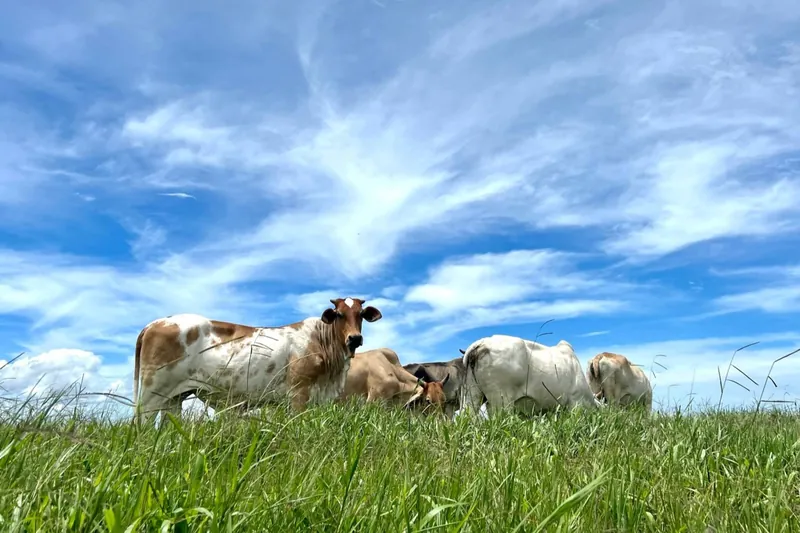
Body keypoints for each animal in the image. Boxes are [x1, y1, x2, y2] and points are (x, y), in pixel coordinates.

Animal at [132, 297, 382, 424]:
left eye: (361, 315)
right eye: (339, 314)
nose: (355, 338)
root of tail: (155, 323)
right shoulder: (299, 394)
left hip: (174, 397)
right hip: (151, 395)